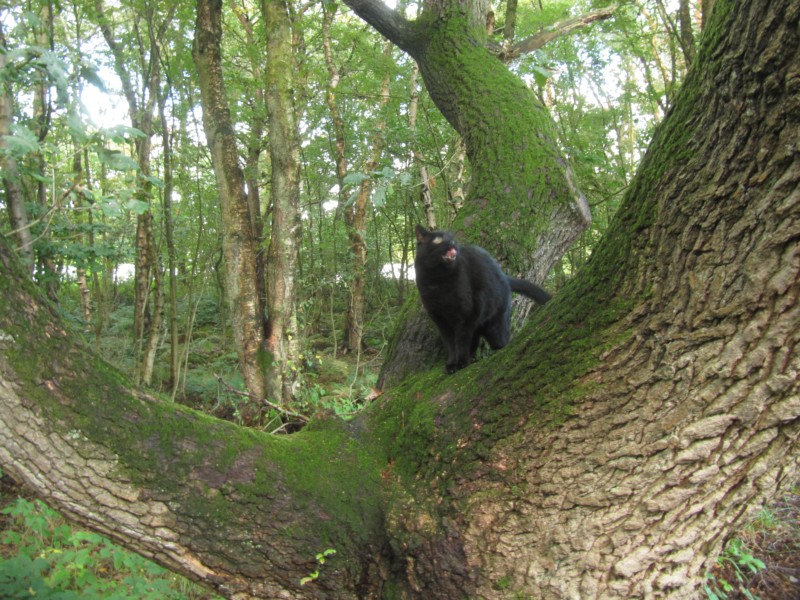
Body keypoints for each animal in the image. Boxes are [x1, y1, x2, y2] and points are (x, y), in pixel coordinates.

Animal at [412, 226, 552, 372]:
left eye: (452, 239)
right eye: (438, 240)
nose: (452, 243)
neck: (437, 281)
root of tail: (504, 277)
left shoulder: (465, 315)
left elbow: (461, 342)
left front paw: (460, 363)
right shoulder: (440, 319)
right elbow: (450, 344)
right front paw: (451, 364)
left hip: (495, 325)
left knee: (503, 341)